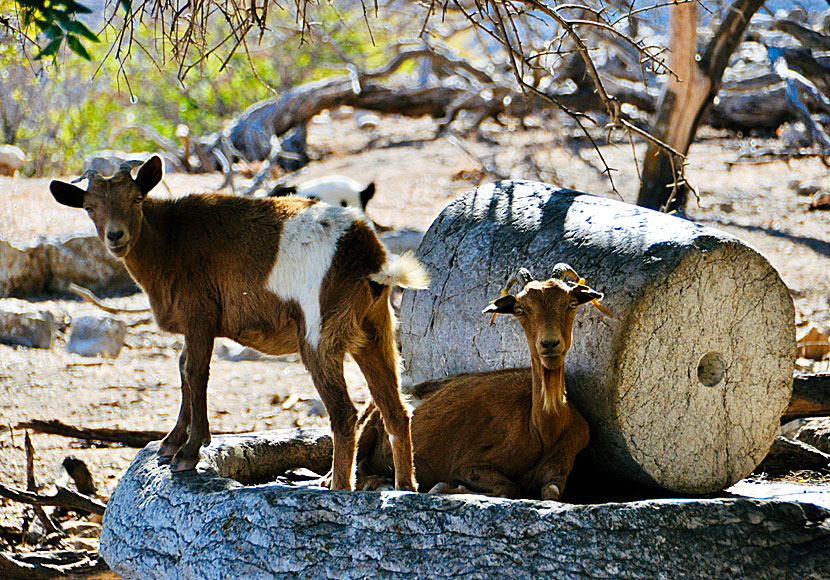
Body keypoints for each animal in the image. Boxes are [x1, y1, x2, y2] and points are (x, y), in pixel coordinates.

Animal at [50, 156, 428, 492]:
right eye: (89, 207)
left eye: (136, 198)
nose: (115, 236)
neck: (170, 241)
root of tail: (370, 257)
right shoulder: (192, 323)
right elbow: (183, 368)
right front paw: (171, 443)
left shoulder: (200, 314)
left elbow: (195, 372)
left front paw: (188, 451)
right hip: (375, 330)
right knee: (395, 411)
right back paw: (404, 487)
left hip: (319, 333)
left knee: (344, 413)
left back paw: (338, 487)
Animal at [354, 266, 600, 500]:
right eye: (520, 310)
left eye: (571, 304)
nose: (549, 344)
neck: (544, 427)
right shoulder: (468, 463)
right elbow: (508, 487)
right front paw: (444, 488)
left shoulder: (560, 466)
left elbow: (552, 492)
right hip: (367, 426)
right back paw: (378, 483)